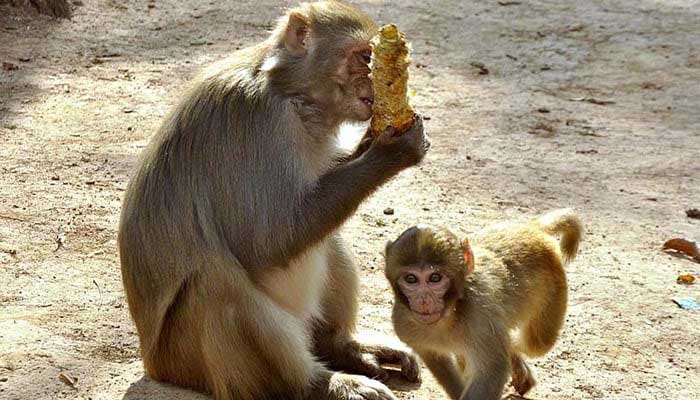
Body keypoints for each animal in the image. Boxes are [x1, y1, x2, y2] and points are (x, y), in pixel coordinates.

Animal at [119, 0, 426, 400]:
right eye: (364, 57)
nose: (377, 84)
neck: (291, 94)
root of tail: (153, 363)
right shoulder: (256, 122)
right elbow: (267, 242)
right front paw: (392, 151)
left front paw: (372, 142)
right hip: (184, 360)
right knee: (215, 282)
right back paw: (321, 383)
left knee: (327, 237)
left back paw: (343, 347)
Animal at [382, 209, 580, 400]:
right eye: (411, 279)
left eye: (435, 278)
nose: (423, 300)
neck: (448, 315)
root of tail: (531, 228)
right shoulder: (404, 324)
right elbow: (438, 362)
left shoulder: (480, 314)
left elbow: (491, 371)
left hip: (554, 286)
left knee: (538, 342)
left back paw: (513, 350)